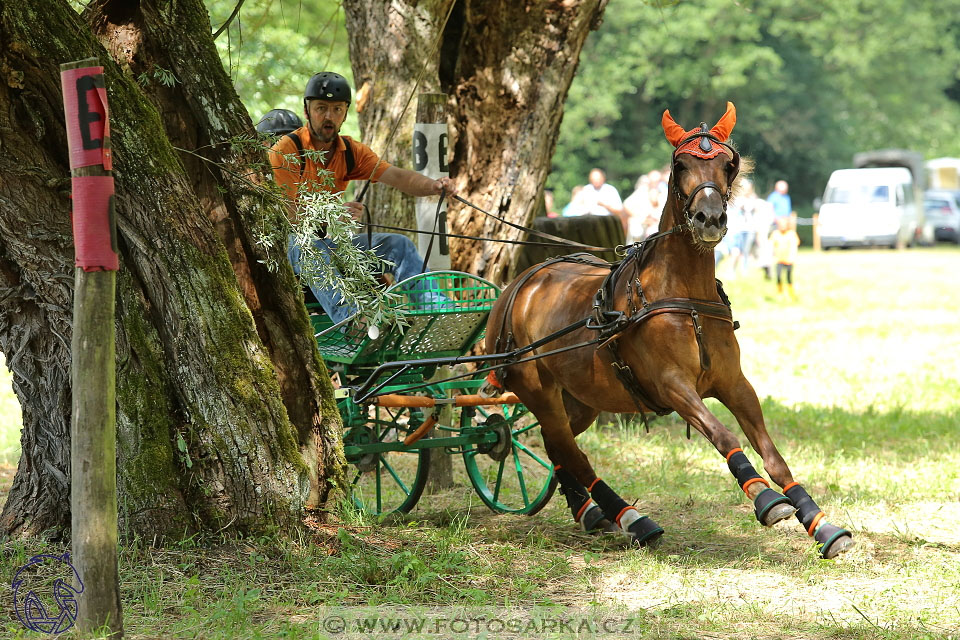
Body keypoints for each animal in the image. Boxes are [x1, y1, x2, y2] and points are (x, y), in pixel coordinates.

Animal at [488, 102, 856, 556]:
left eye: (728, 164)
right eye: (681, 165)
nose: (709, 217)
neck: (683, 295)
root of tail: (521, 284)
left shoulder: (735, 383)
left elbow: (773, 454)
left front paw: (820, 524)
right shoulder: (672, 385)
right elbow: (722, 434)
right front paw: (765, 497)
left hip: (579, 398)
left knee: (557, 444)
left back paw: (590, 511)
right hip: (537, 388)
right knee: (571, 451)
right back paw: (630, 517)